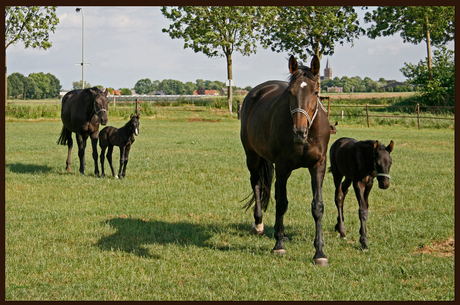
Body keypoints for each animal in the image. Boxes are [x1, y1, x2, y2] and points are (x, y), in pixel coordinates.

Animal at [241, 55, 330, 264]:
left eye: (316, 92)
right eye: (290, 92)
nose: (299, 131)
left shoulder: (318, 166)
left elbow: (317, 207)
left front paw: (319, 252)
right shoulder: (283, 167)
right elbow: (281, 203)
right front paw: (279, 245)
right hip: (252, 157)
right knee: (257, 184)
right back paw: (259, 224)